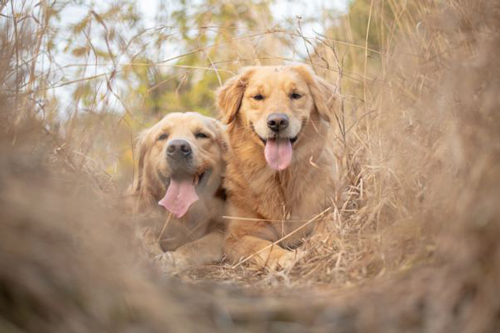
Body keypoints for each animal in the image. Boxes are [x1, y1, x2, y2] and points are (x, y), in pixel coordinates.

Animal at [129, 113, 229, 268]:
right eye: (162, 136)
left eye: (202, 135)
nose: (177, 149)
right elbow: (145, 233)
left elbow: (197, 245)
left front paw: (173, 259)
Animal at [216, 65, 338, 270]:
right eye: (258, 97)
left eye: (295, 95)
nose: (277, 122)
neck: (280, 178)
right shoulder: (235, 237)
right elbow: (262, 246)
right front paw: (286, 257)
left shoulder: (328, 209)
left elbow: (327, 226)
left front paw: (319, 243)